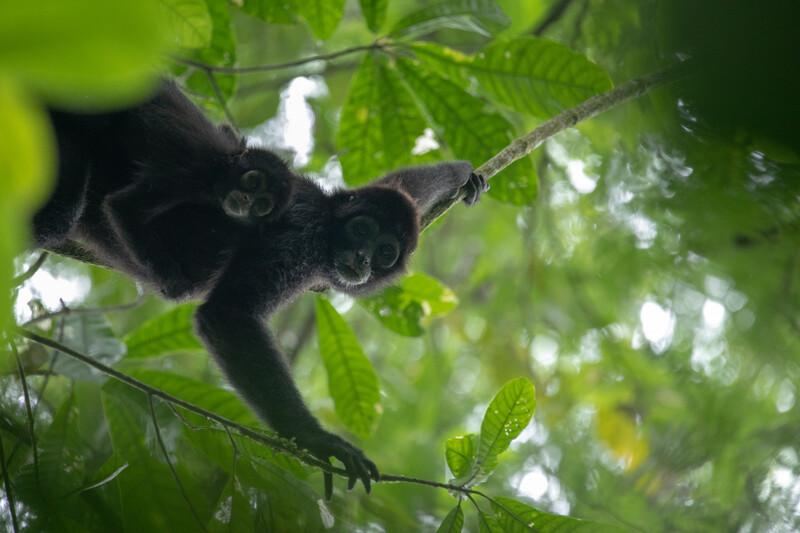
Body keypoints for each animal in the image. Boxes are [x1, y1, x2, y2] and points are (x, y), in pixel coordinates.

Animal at [31, 79, 489, 498]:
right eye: (362, 230)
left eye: (385, 253)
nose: (361, 260)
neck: (326, 224)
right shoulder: (300, 239)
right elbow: (226, 315)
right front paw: (318, 440)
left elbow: (405, 184)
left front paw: (465, 176)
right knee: (60, 214)